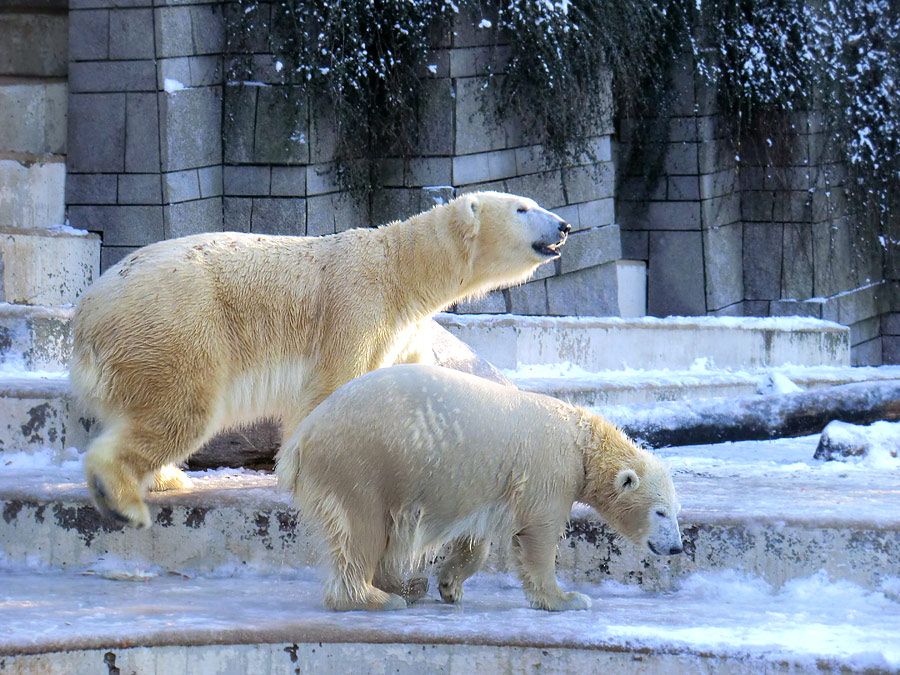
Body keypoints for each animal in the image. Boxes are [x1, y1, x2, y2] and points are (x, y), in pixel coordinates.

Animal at [75, 189, 568, 528]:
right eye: (523, 209)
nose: (564, 226)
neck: (401, 272)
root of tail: (86, 315)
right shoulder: (355, 306)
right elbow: (332, 388)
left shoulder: (401, 331)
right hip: (177, 328)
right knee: (183, 410)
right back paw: (123, 499)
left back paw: (166, 478)